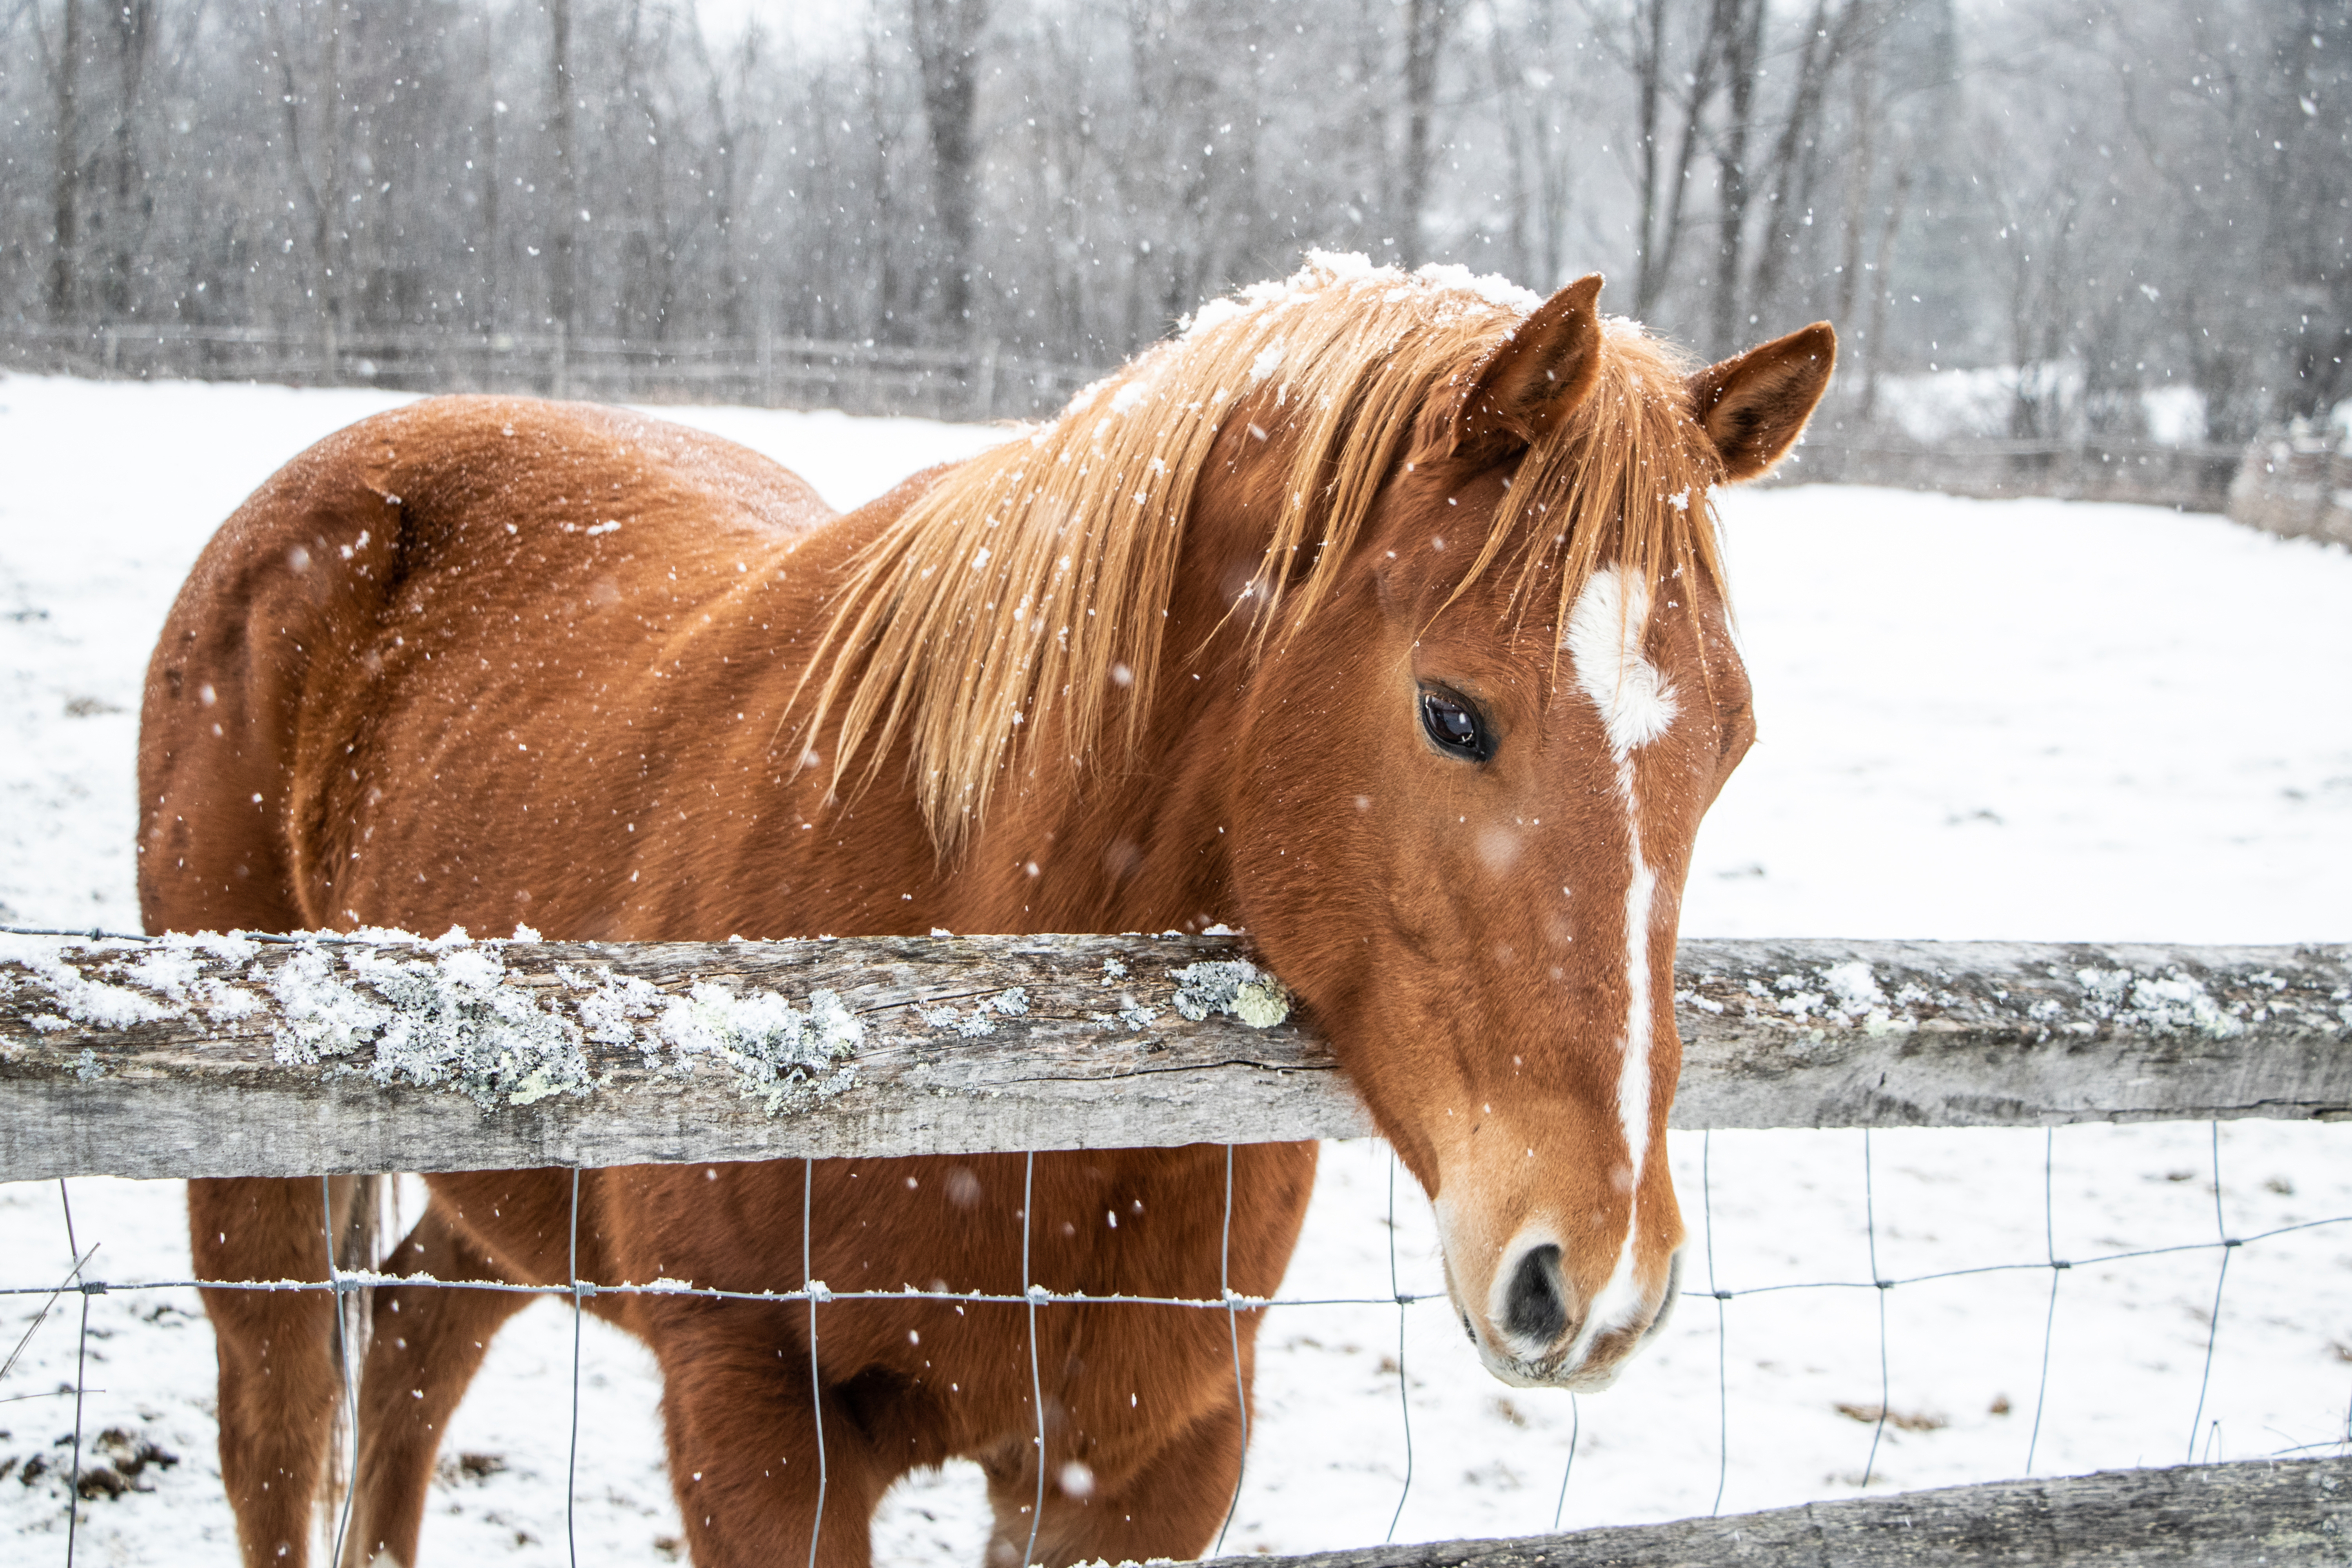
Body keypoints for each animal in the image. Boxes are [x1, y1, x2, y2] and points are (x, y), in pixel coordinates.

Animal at [138, 257, 1835, 1568]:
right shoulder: (760, 1424)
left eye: (1736, 742)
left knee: (414, 1348)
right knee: (283, 1428)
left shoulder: (1143, 1461)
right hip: (260, 1196)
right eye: (1451, 712)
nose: (1593, 1274)